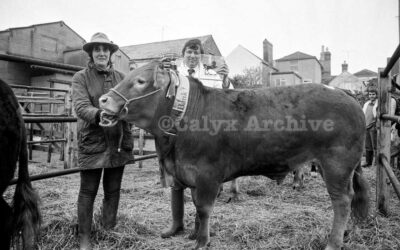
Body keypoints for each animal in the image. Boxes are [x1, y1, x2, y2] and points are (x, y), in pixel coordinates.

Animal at [97, 61, 368, 250]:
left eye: (140, 81)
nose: (103, 99)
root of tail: (345, 94)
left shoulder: (208, 174)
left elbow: (204, 208)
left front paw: (202, 241)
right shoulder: (189, 173)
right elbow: (192, 204)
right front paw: (193, 234)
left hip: (336, 165)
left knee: (342, 201)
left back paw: (333, 242)